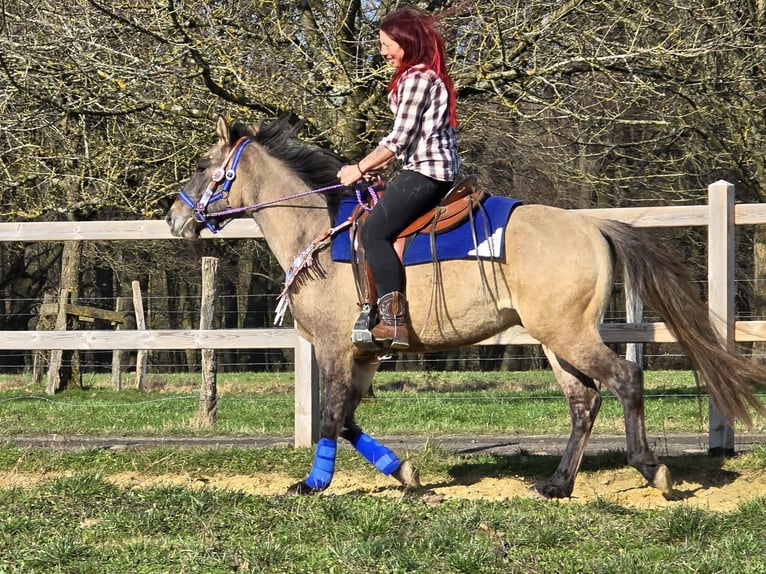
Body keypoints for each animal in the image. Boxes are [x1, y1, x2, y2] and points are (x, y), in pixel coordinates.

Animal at [166, 115, 766, 499]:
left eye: (202, 163)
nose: (175, 217)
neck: (318, 232)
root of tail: (592, 226)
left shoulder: (336, 348)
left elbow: (332, 418)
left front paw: (313, 484)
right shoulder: (364, 355)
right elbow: (350, 419)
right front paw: (406, 474)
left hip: (567, 334)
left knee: (623, 380)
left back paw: (650, 470)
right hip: (555, 340)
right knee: (584, 401)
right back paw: (557, 484)